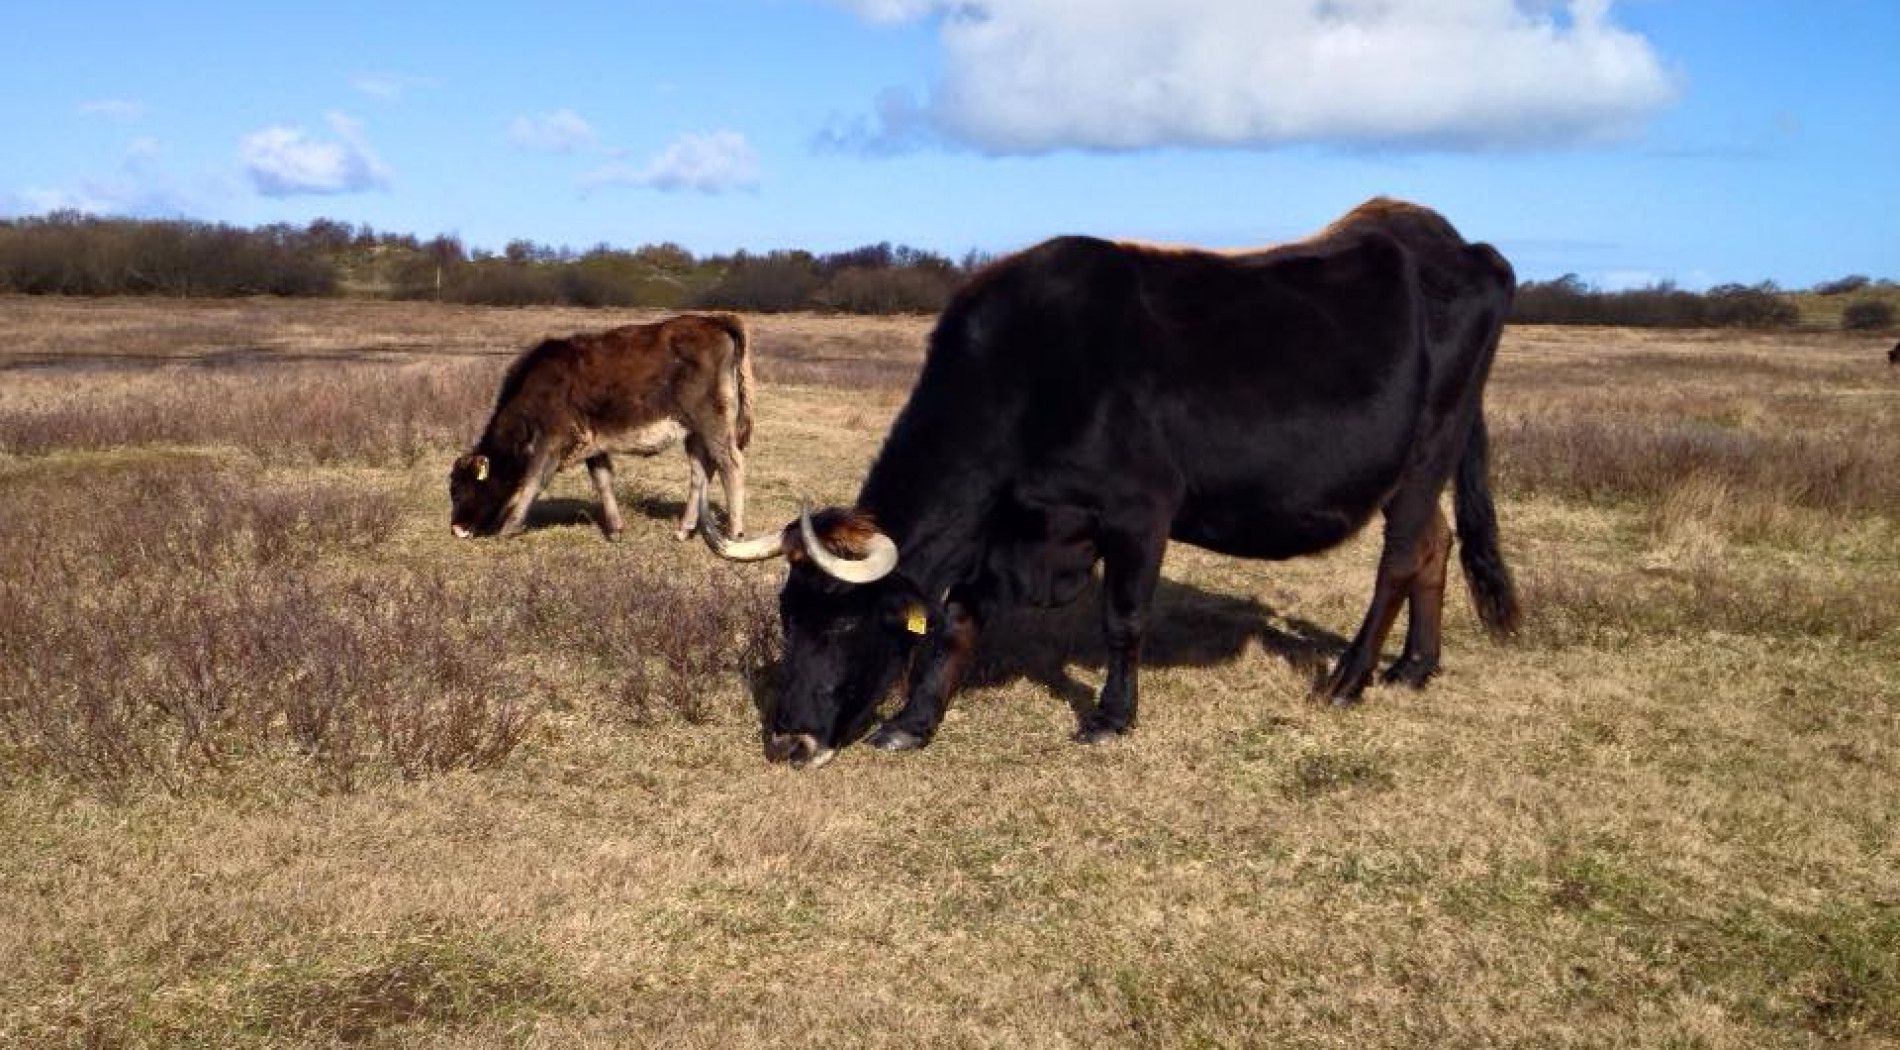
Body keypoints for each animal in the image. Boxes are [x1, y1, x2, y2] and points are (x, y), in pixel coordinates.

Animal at [448, 311, 752, 539]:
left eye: (460, 490)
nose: (456, 528)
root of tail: (714, 320)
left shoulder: (552, 441)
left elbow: (533, 482)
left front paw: (509, 527)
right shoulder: (593, 443)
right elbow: (603, 481)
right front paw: (615, 529)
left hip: (713, 423)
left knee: (731, 465)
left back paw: (735, 531)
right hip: (695, 432)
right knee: (701, 471)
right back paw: (684, 529)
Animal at [706, 198, 1520, 770]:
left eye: (845, 623)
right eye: (787, 616)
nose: (787, 742)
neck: (1032, 371)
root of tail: (1456, 243)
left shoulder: (1138, 514)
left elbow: (1124, 619)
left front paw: (1111, 717)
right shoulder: (1006, 527)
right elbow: (958, 620)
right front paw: (913, 723)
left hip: (1426, 453)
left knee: (1401, 558)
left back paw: (1349, 679)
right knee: (1437, 546)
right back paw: (1414, 668)